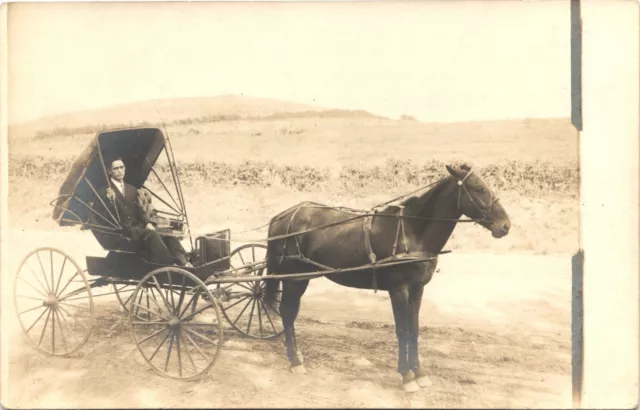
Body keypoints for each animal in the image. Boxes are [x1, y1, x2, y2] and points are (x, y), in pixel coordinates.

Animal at [262, 163, 510, 390]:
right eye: (478, 188)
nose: (505, 225)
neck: (411, 231)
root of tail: (283, 216)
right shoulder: (398, 288)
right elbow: (402, 330)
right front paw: (407, 376)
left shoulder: (417, 288)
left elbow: (414, 329)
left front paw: (419, 373)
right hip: (294, 279)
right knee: (288, 313)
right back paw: (295, 361)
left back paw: (296, 355)